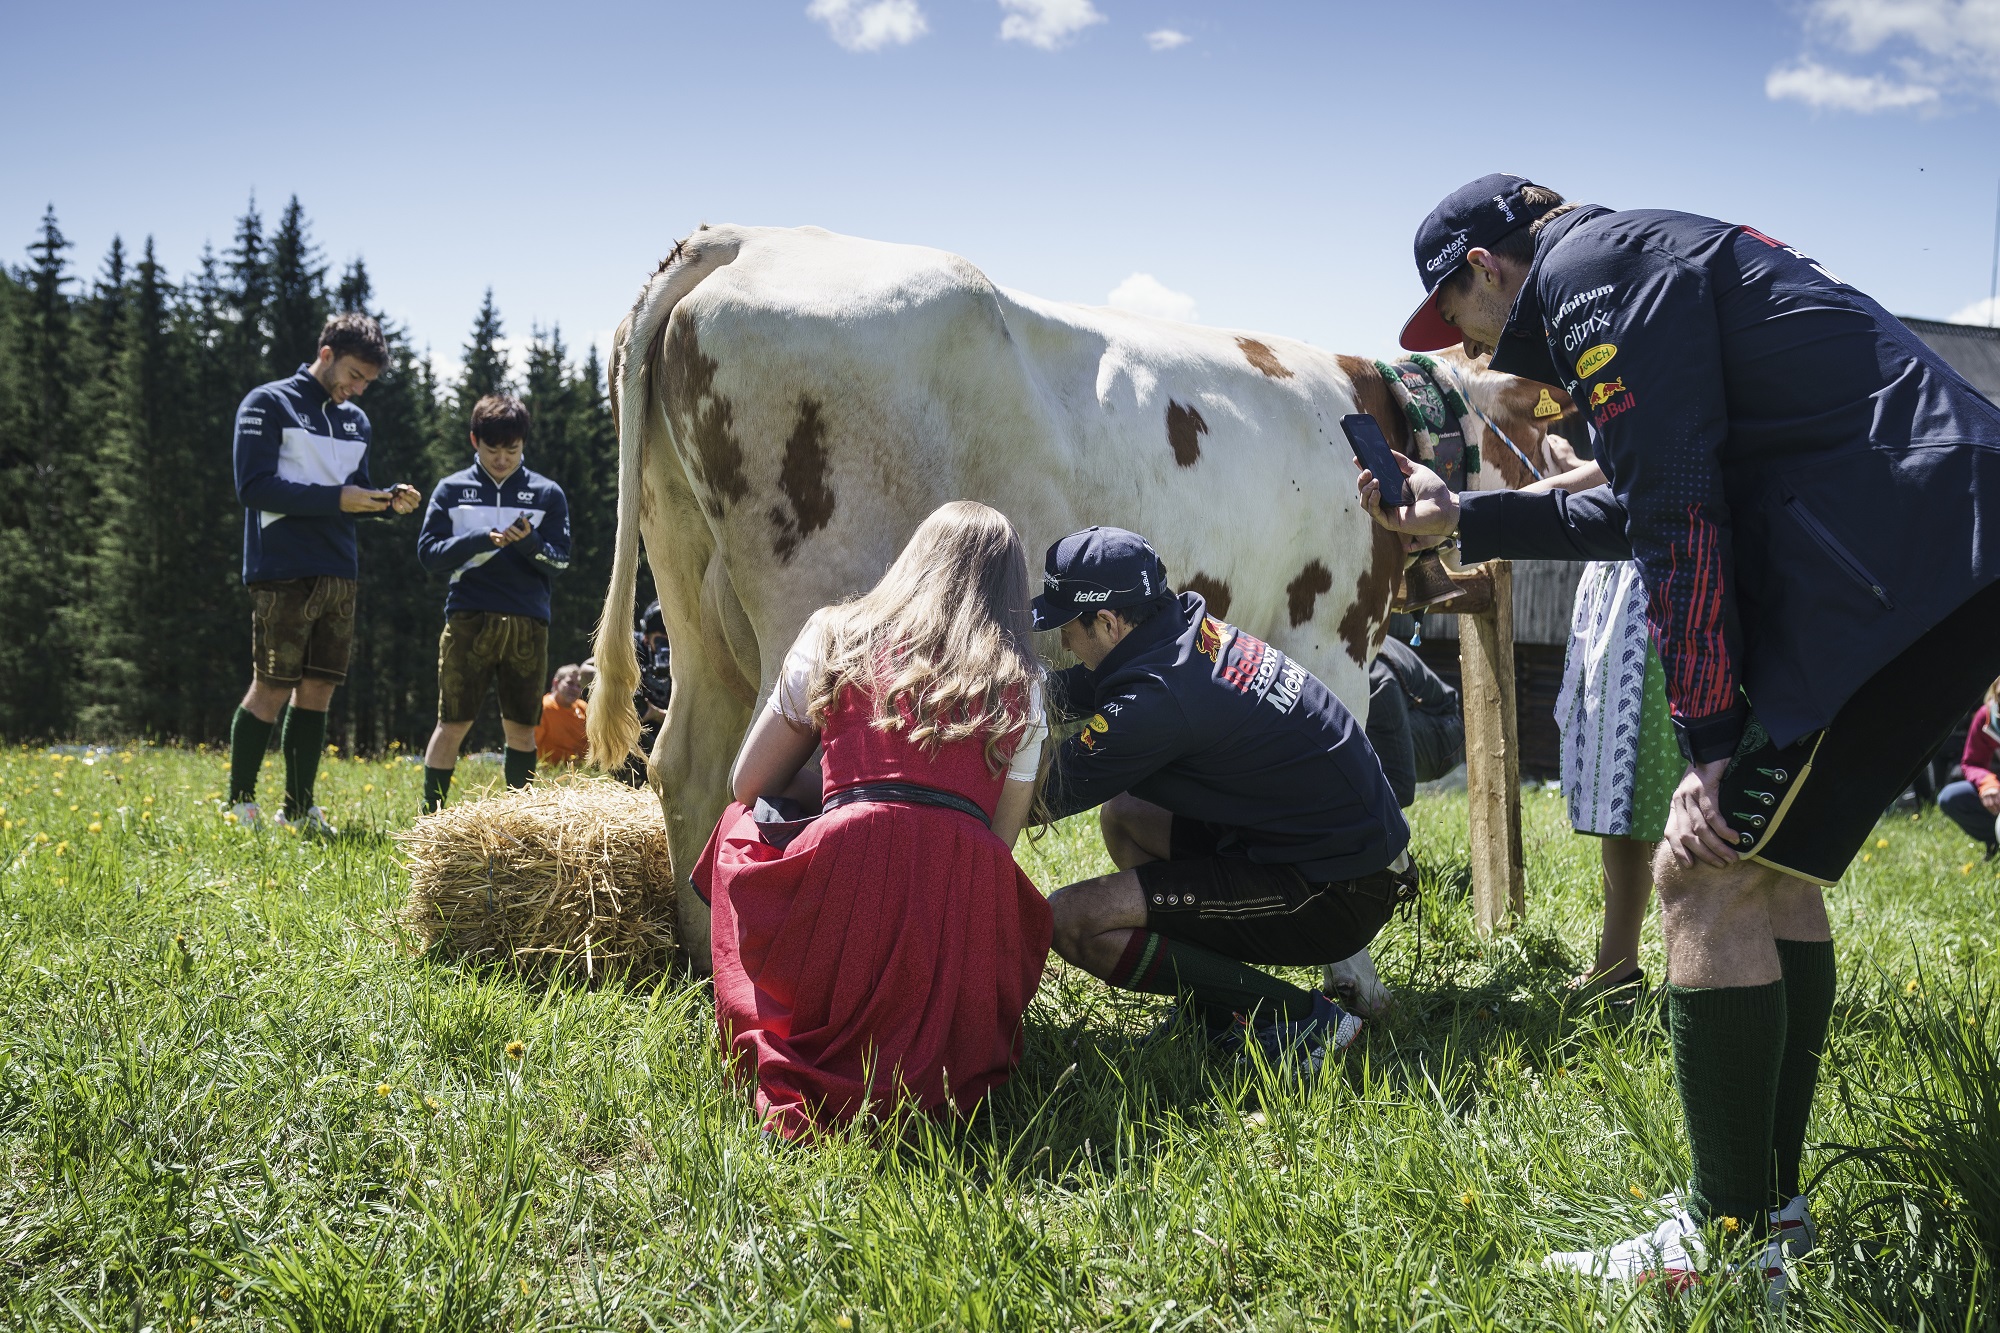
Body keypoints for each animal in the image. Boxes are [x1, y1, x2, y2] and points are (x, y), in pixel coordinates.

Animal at [584, 226, 1568, 1008]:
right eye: (1546, 425)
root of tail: (749, 234)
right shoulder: (1332, 633)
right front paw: (1355, 980)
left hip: (691, 593)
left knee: (689, 762)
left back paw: (701, 963)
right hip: (810, 595)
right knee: (767, 779)